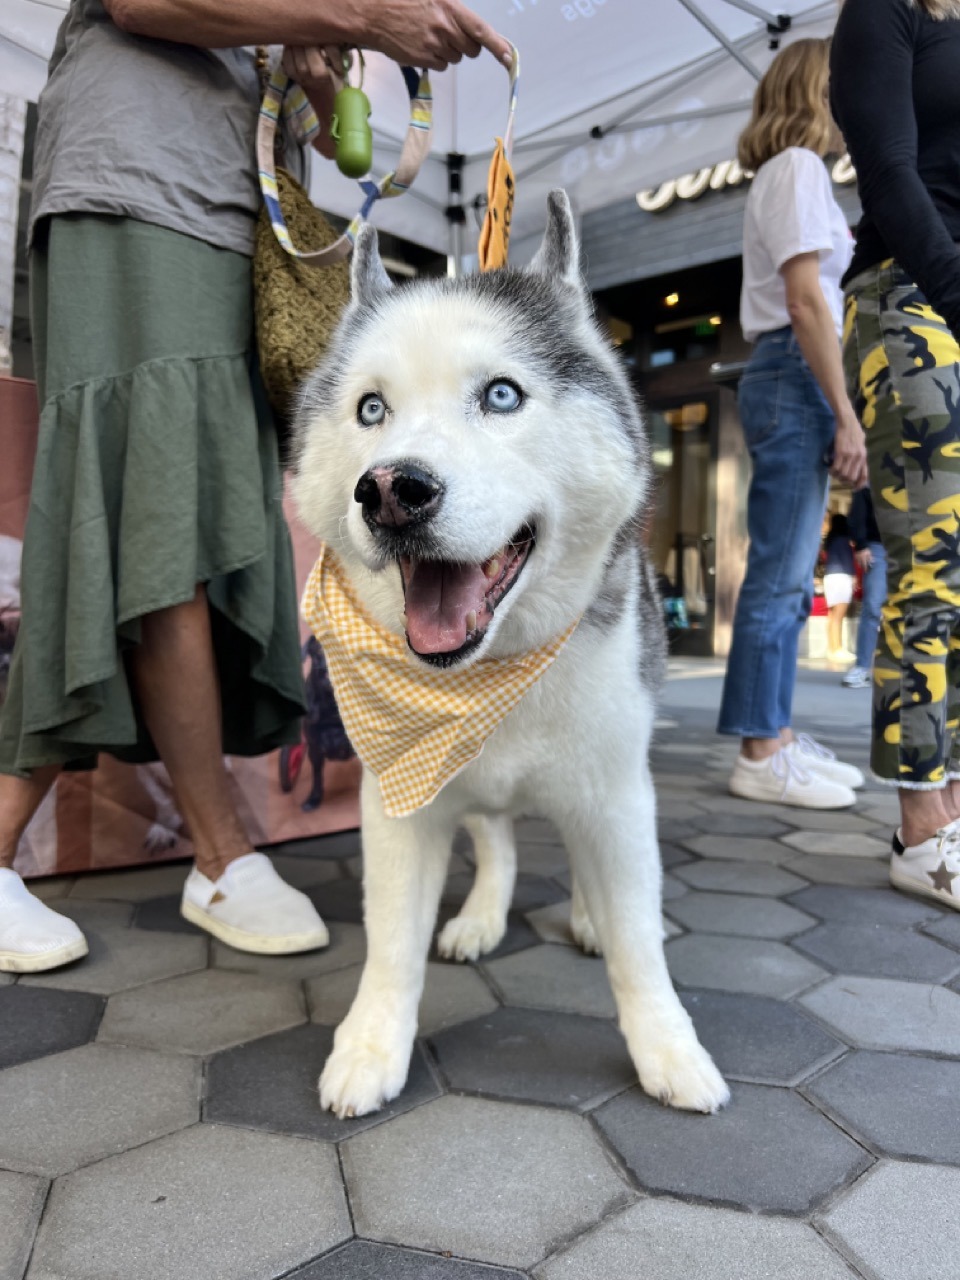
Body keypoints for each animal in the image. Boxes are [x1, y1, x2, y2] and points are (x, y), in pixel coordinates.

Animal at [293, 189, 727, 1121]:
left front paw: (669, 1049)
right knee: (497, 836)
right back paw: (481, 917)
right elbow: (391, 941)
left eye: (500, 394)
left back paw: (586, 917)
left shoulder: (613, 789)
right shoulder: (399, 801)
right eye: (371, 410)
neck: (493, 675)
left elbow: (639, 940)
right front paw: (372, 1044)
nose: (392, 491)